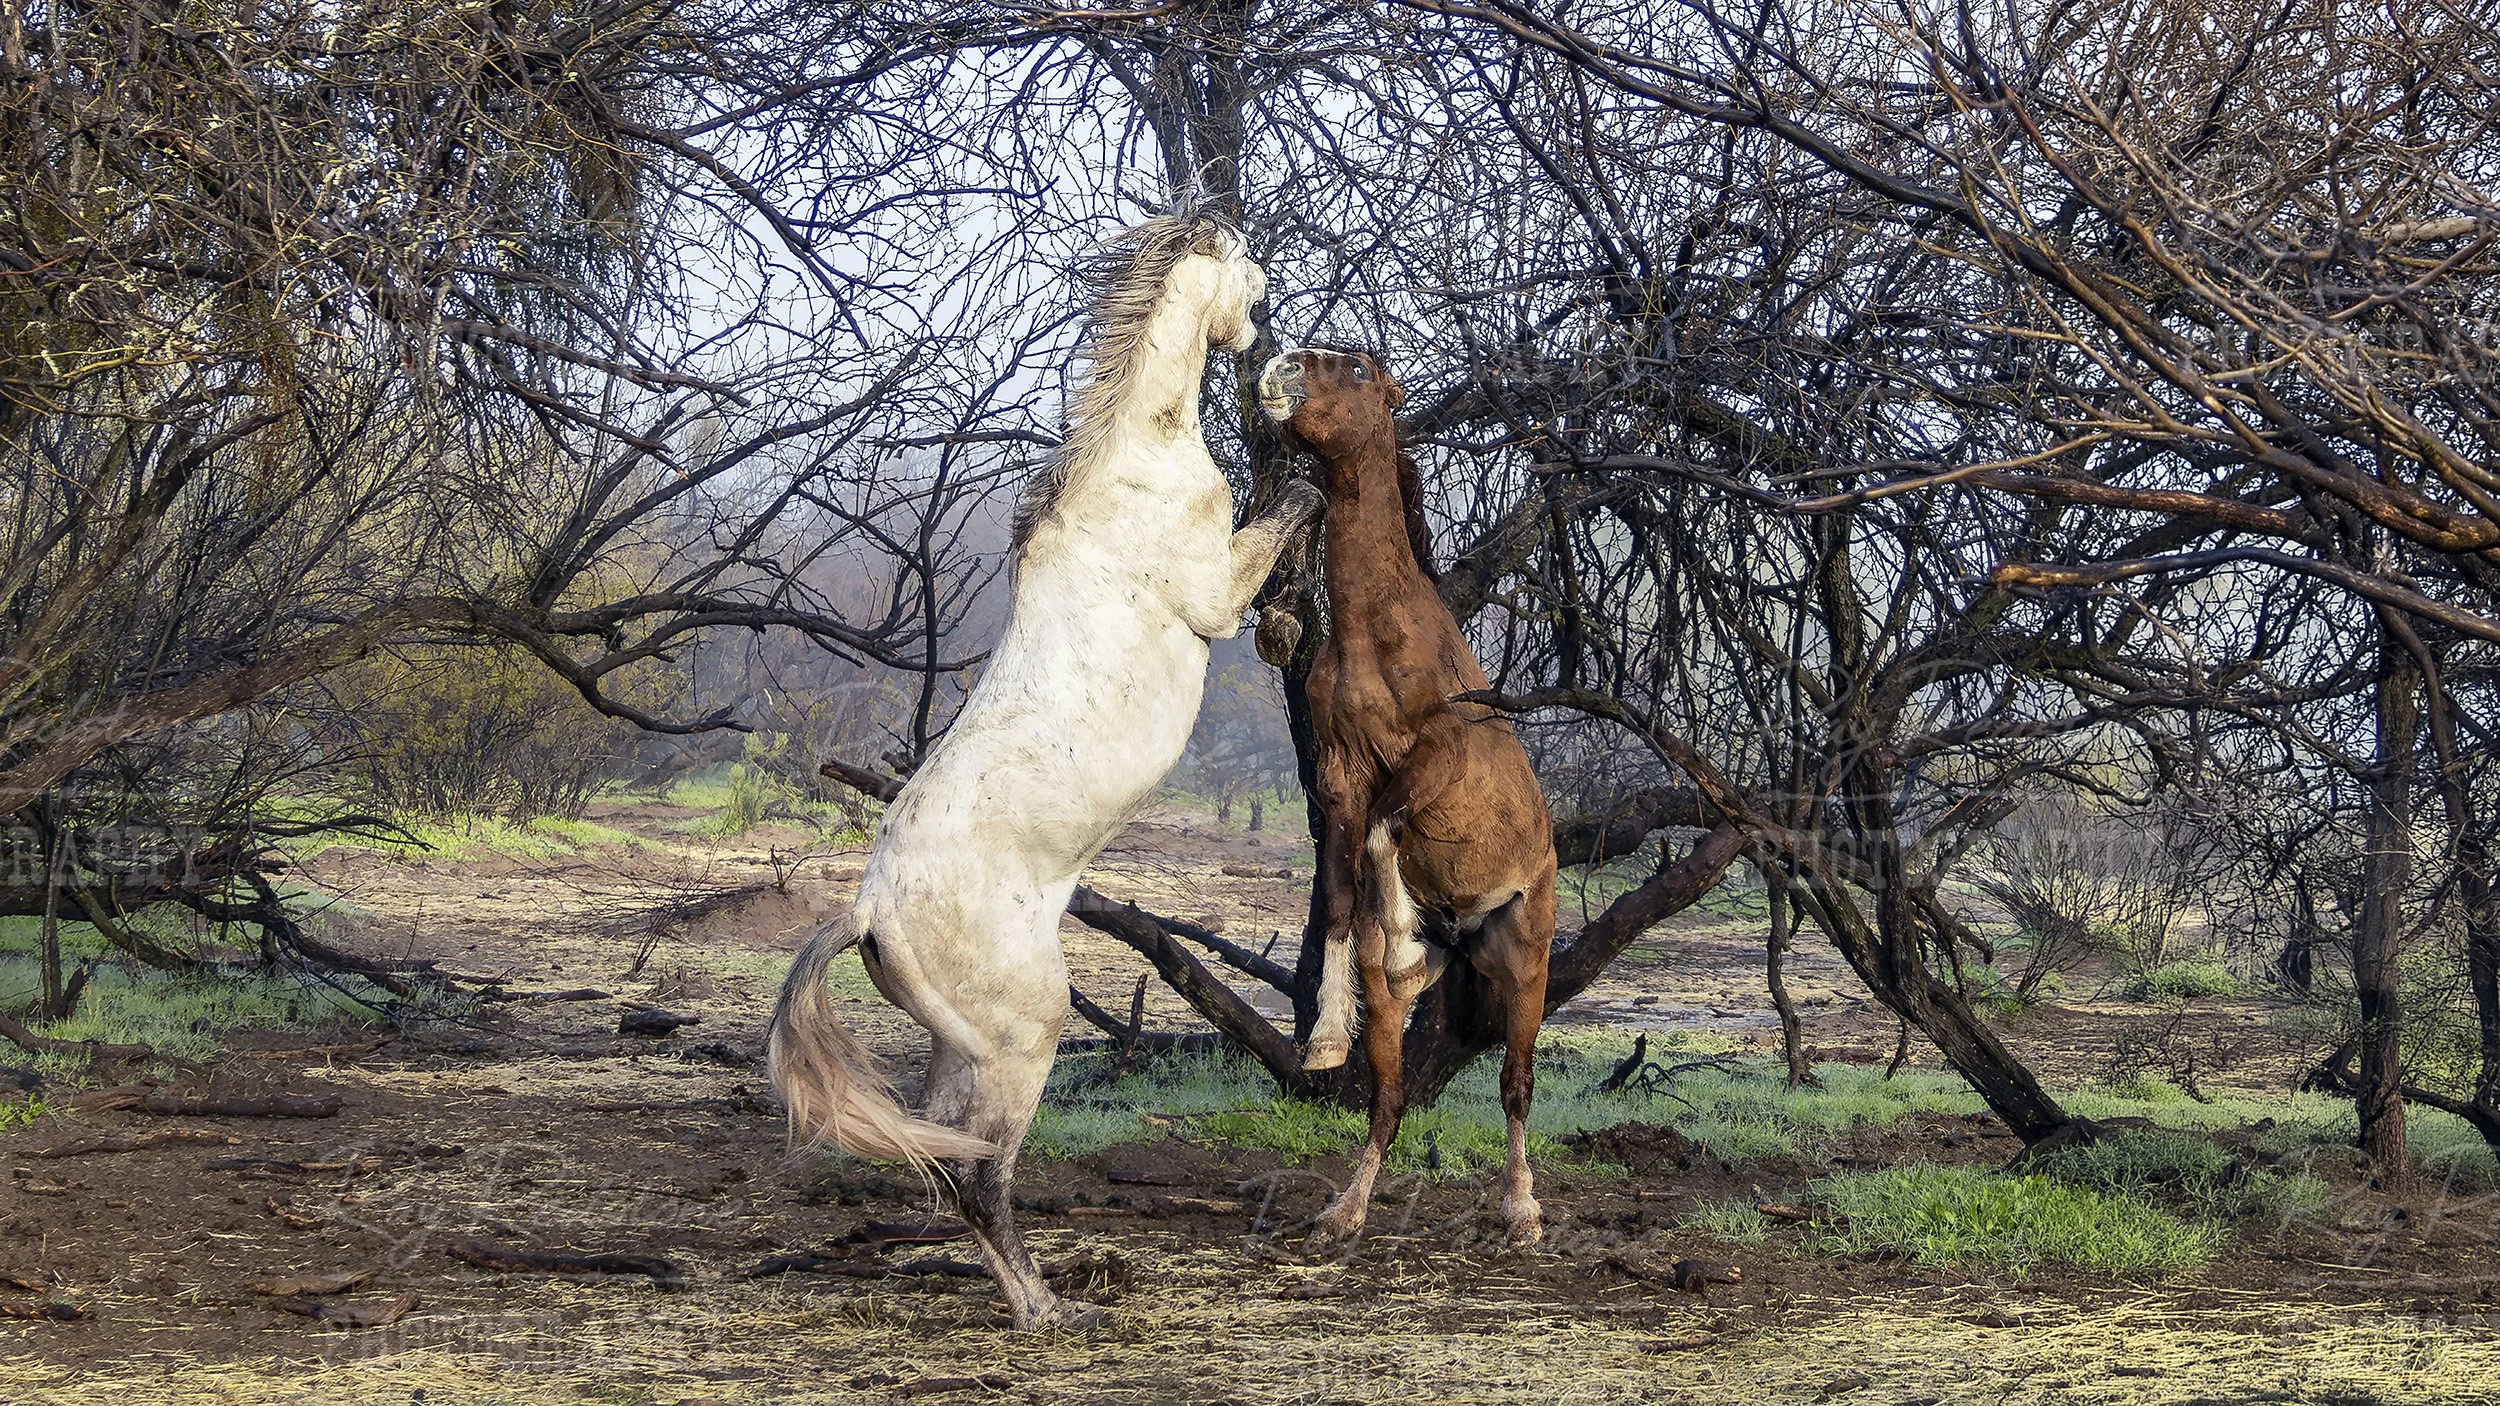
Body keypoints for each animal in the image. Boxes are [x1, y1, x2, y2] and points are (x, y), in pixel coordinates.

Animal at [769, 209, 1321, 1330]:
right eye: (1247, 262)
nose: (1265, 321)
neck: (1137, 456)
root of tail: (871, 910)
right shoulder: (1213, 590)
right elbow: (1287, 511)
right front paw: (1302, 501)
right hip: (1028, 1036)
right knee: (982, 1172)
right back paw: (1052, 1311)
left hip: (964, 1047)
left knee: (948, 1163)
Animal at [1256, 346, 1560, 1247]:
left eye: (1354, 367)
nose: (1275, 371)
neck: (1377, 637)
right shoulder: (1339, 774)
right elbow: (1340, 889)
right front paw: (1325, 1035)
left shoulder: (1436, 760)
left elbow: (1387, 832)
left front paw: (1393, 935)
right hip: (1410, 1014)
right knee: (1388, 1098)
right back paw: (1345, 1211)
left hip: (1527, 967)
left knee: (1517, 1087)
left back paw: (1521, 1211)